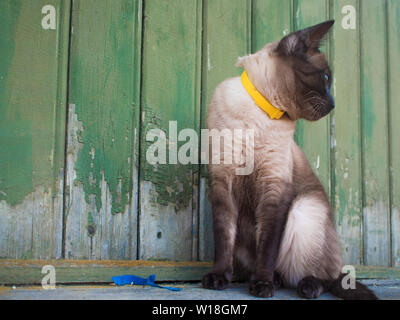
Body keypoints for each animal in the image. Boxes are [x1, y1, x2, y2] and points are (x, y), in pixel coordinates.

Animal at [203, 20, 378, 300]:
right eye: (325, 78)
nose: (333, 104)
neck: (260, 115)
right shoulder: (222, 182)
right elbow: (223, 240)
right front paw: (218, 278)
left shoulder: (275, 189)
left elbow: (268, 247)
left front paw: (262, 286)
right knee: (283, 273)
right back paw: (272, 279)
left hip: (304, 209)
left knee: (325, 277)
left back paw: (304, 286)